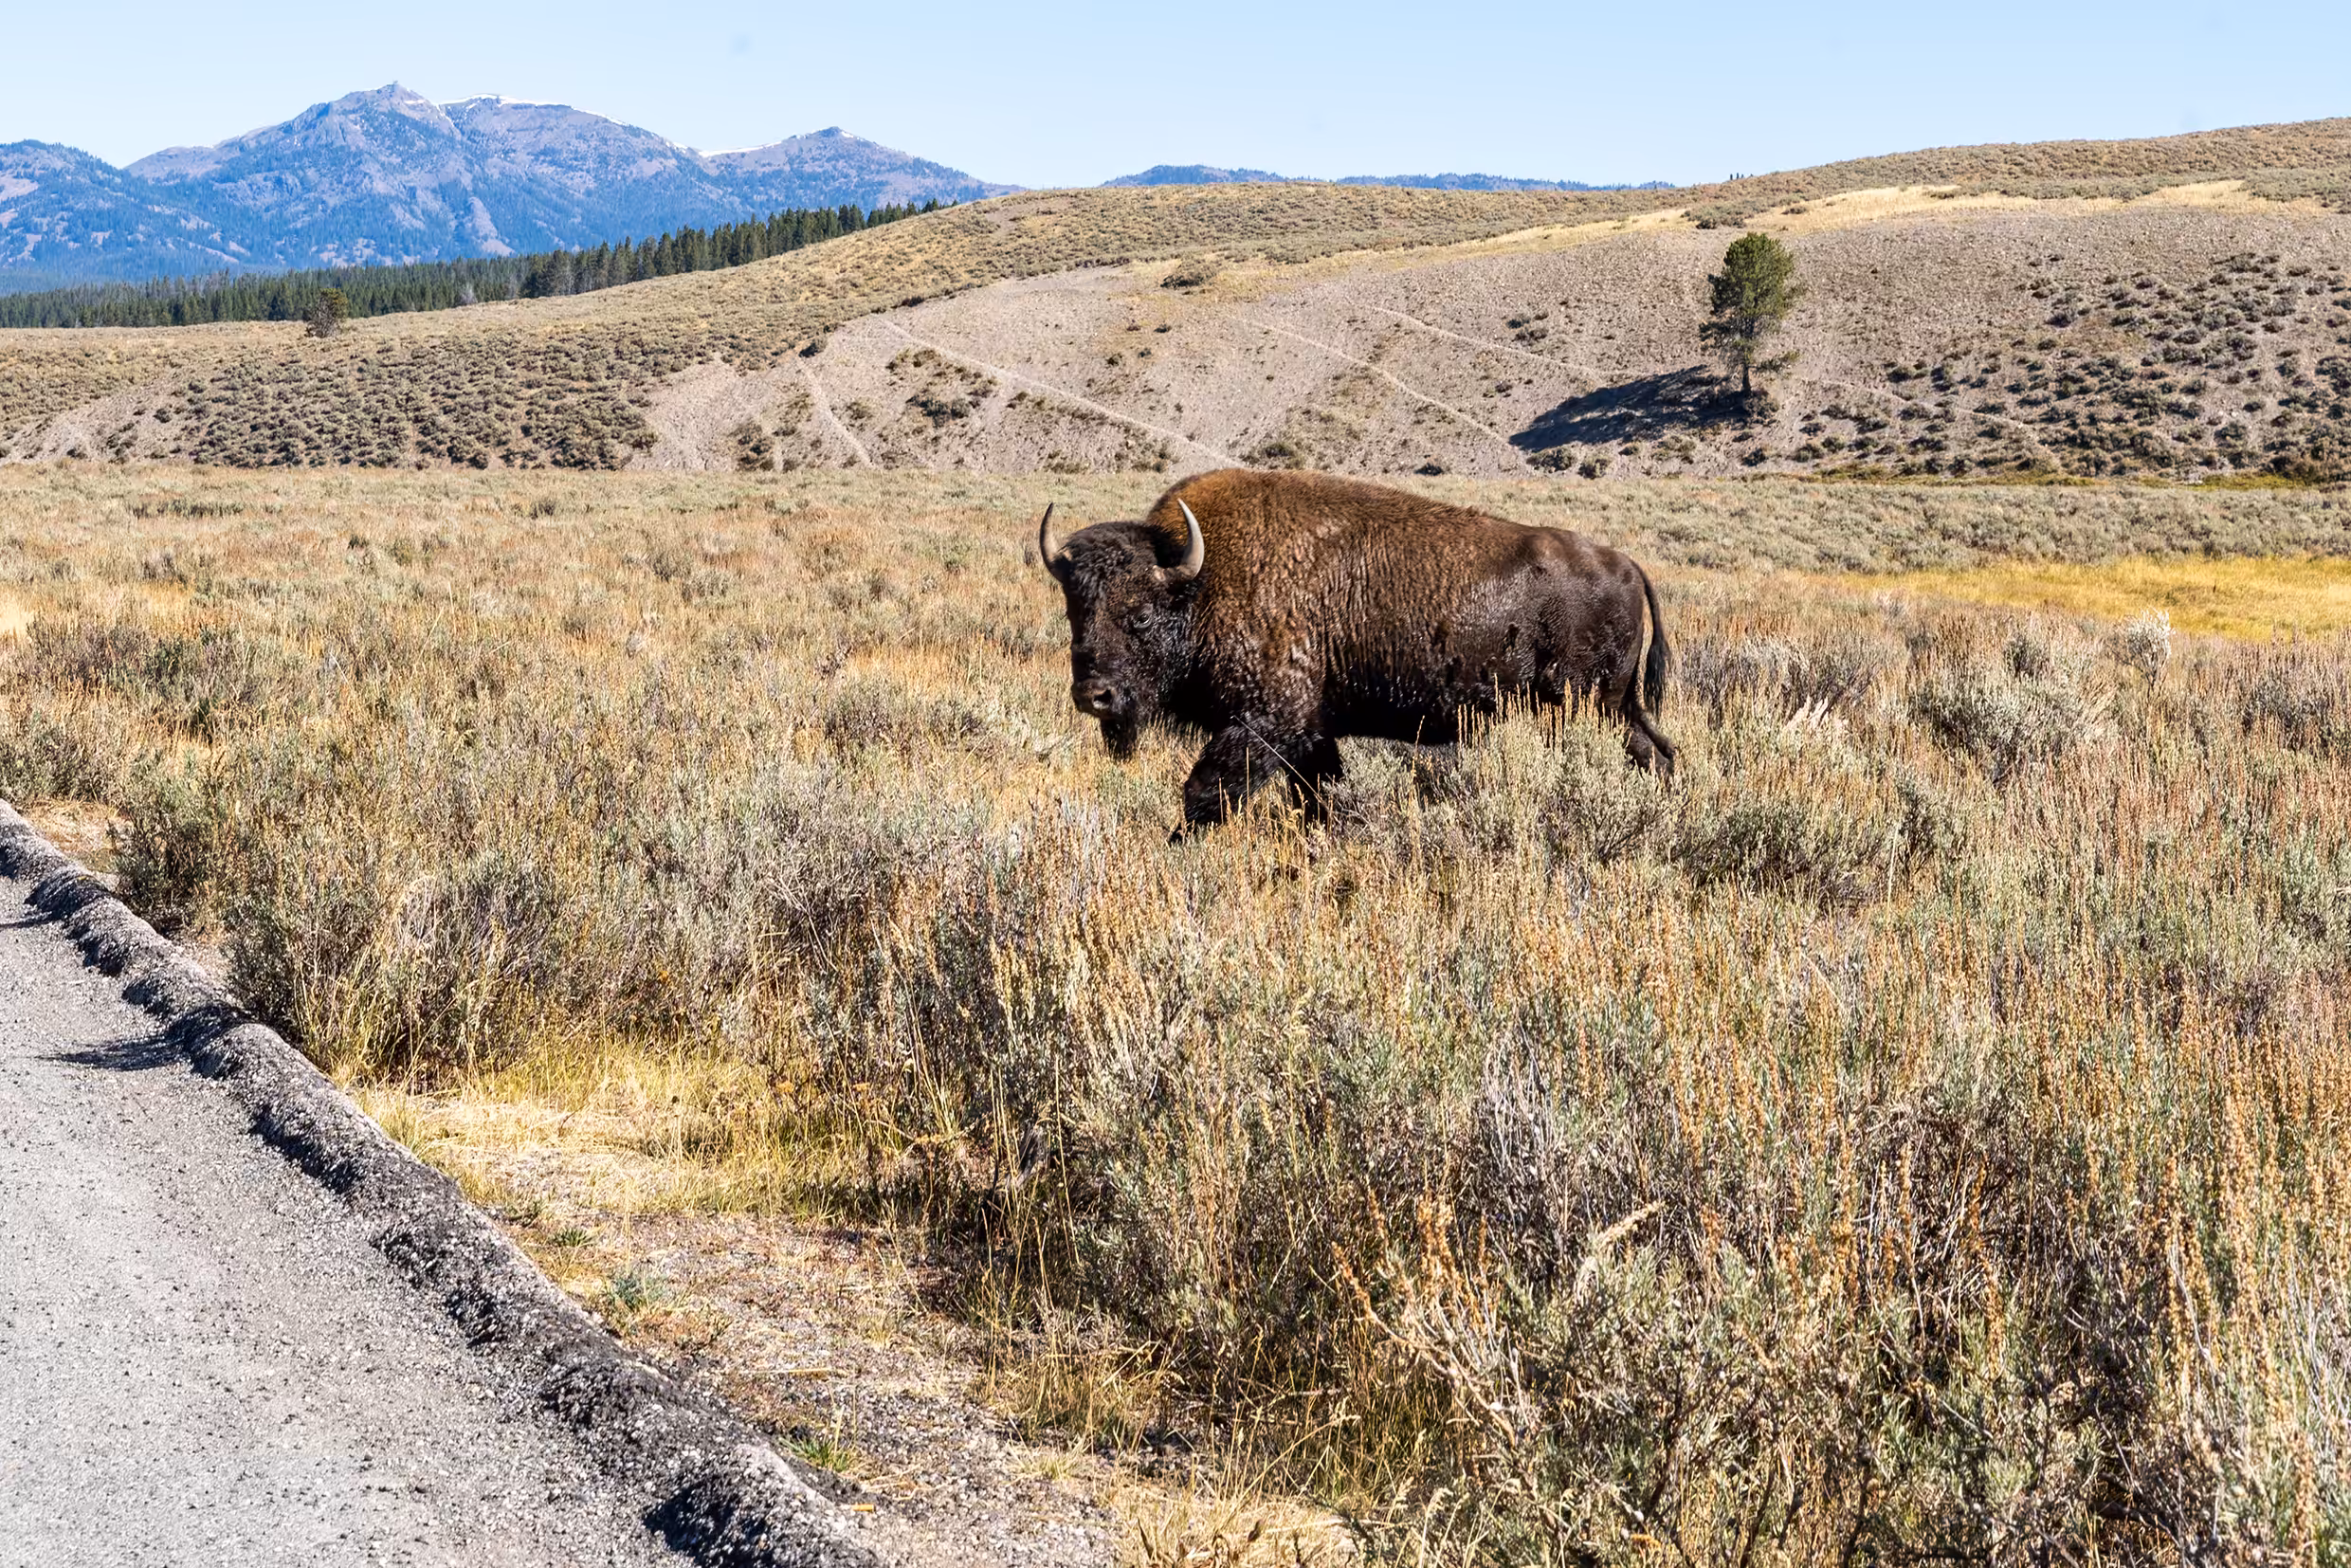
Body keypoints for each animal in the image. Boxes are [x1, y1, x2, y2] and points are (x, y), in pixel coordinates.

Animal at [1038, 468, 1674, 833]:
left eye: (1141, 615)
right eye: (1074, 610)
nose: (1093, 695)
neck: (1200, 581)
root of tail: (1628, 565)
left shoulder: (1264, 726)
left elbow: (1206, 795)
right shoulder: (1311, 736)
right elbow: (1319, 799)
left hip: (1587, 707)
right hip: (1617, 706)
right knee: (1657, 752)